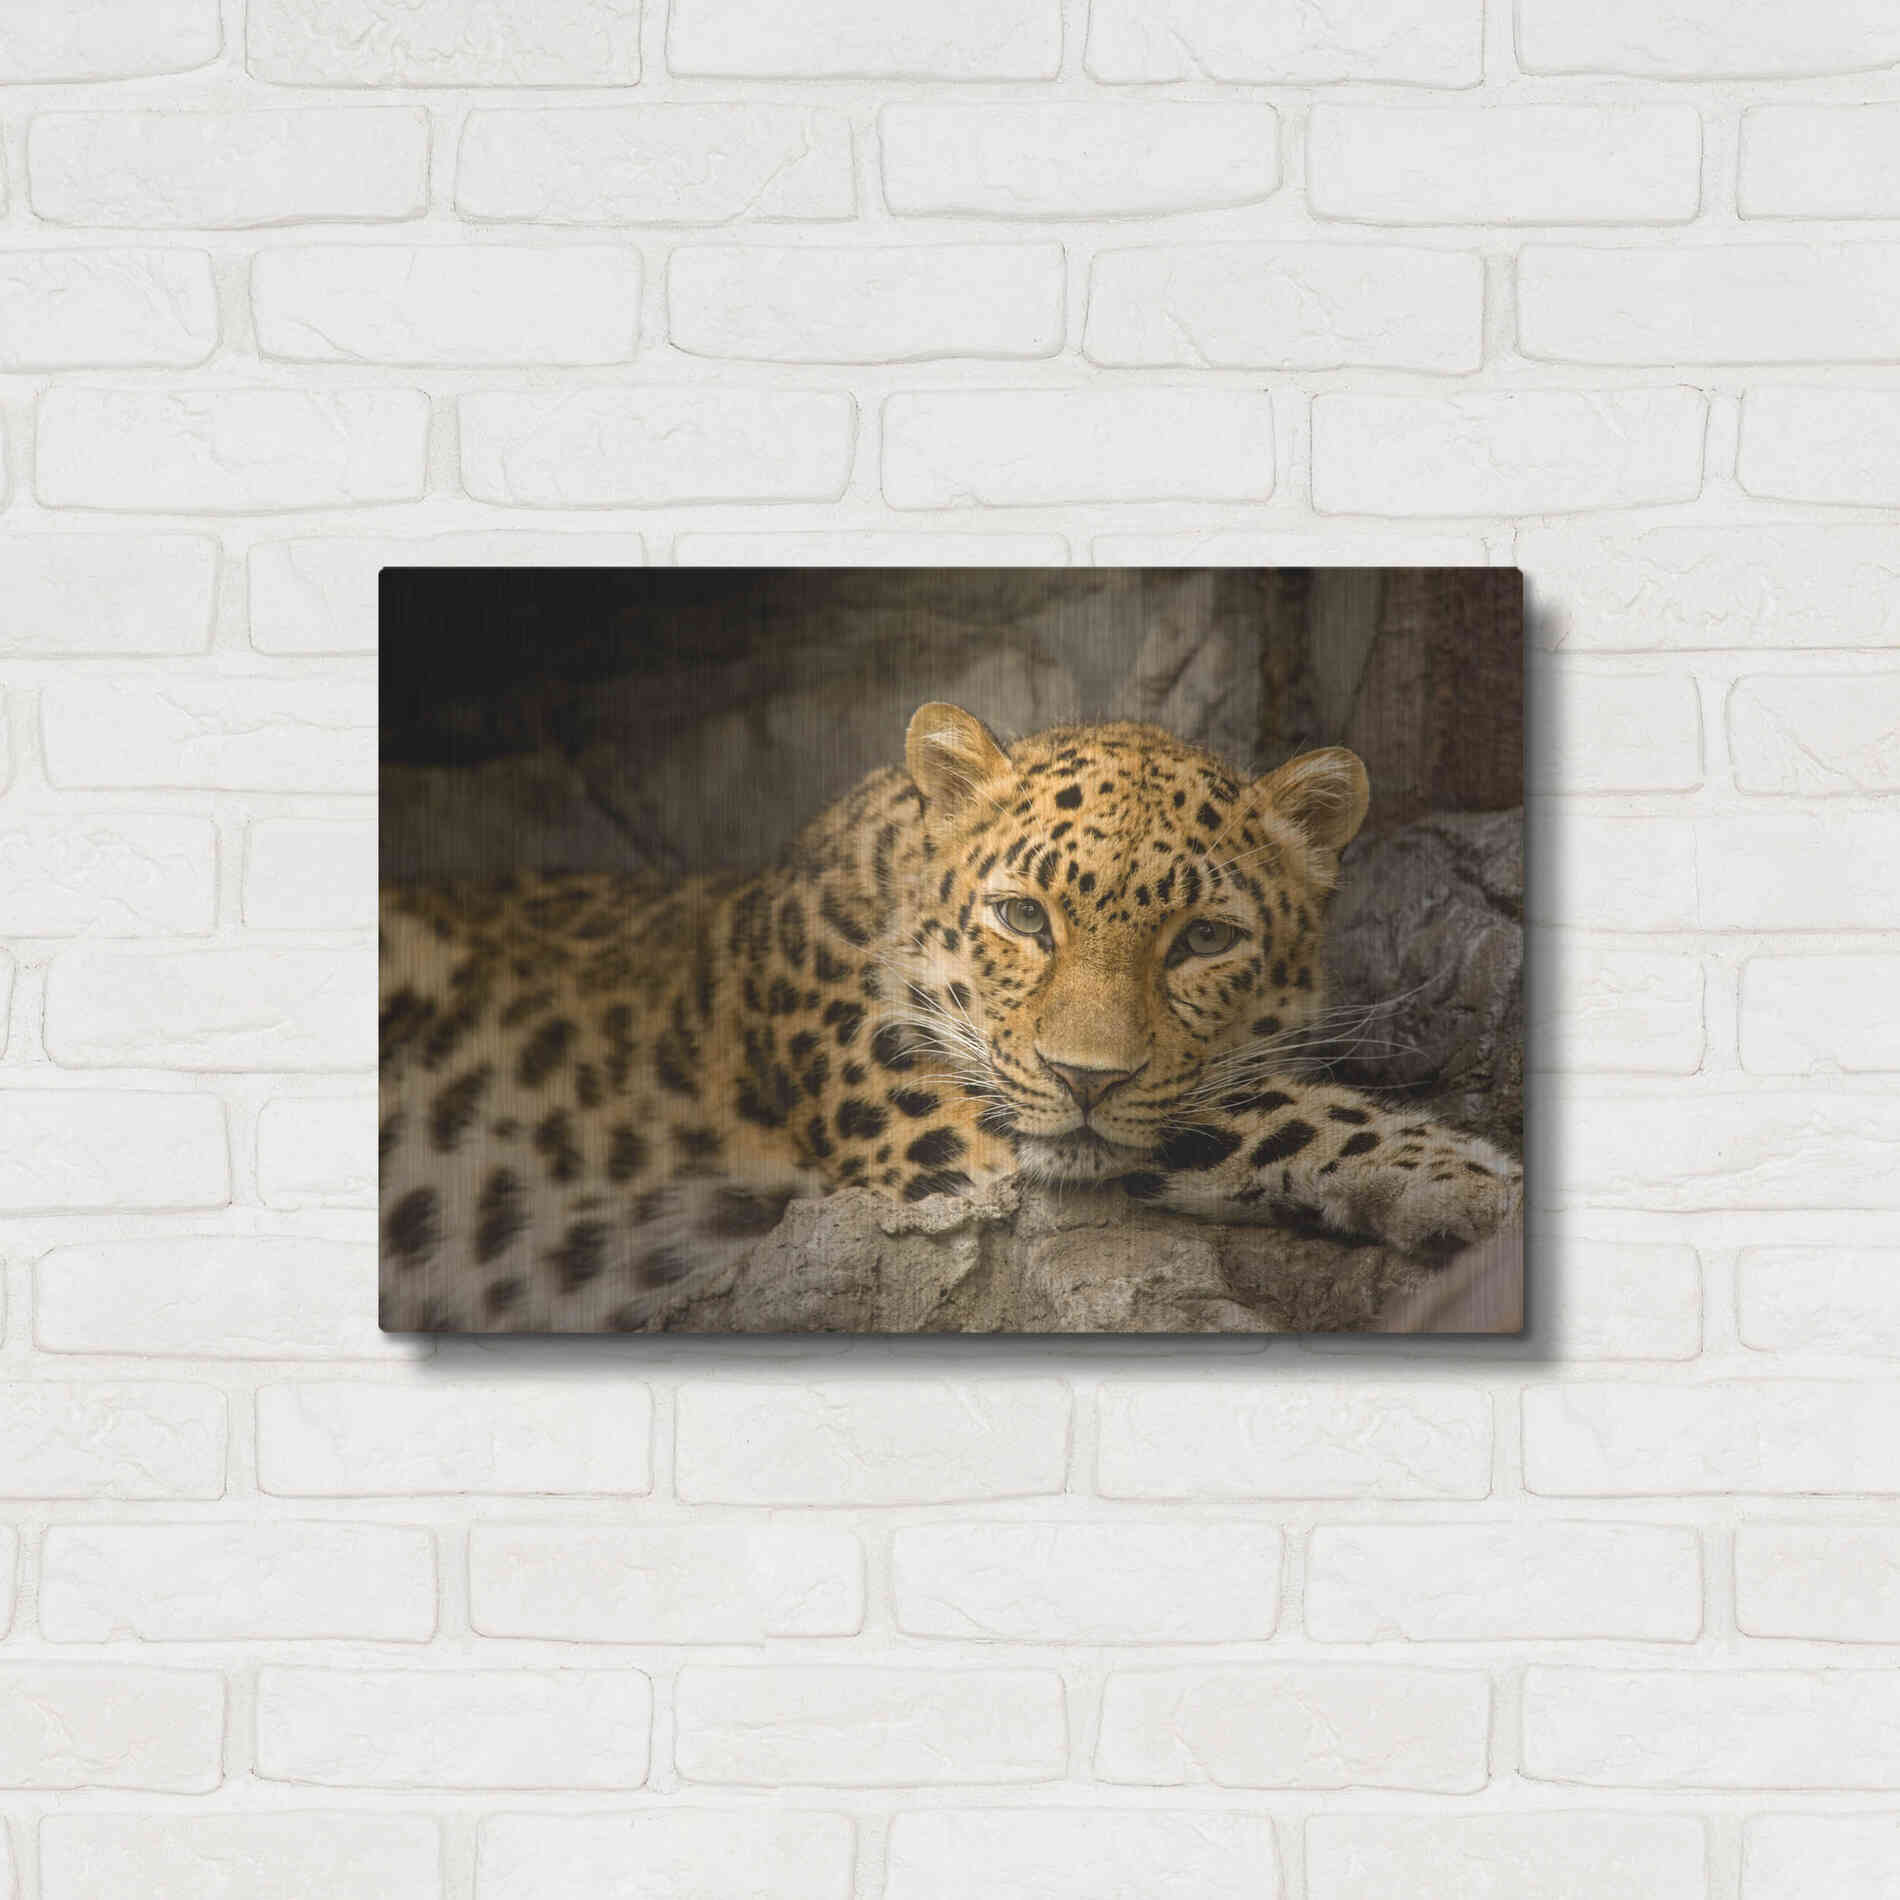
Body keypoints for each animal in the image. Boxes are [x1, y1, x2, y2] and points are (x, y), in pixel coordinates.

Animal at [379, 702, 1521, 1330]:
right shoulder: (953, 1137)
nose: (1086, 1077)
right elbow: (1267, 1110)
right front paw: (1471, 1181)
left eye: (1203, 939)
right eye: (1023, 916)